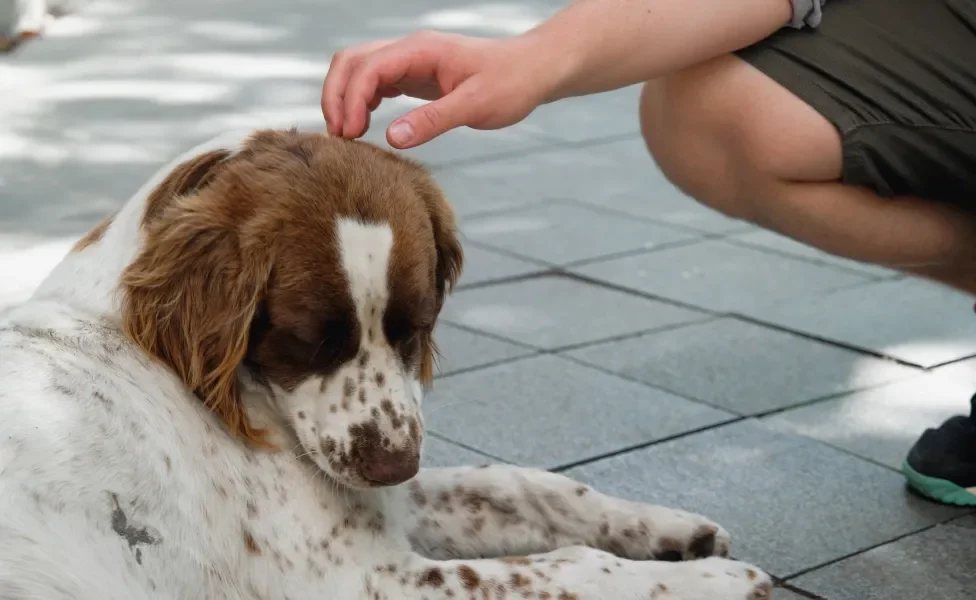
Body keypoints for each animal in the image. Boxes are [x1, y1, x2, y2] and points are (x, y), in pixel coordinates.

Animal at [0, 129, 776, 596]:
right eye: (307, 339)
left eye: (417, 325)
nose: (394, 464)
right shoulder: (361, 578)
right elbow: (567, 571)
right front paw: (714, 584)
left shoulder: (385, 506)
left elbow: (523, 484)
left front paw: (666, 530)